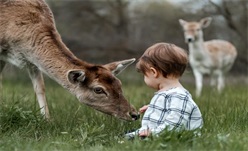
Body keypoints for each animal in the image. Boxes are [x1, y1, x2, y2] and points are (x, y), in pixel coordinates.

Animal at [0, 0, 140, 121]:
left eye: (119, 84)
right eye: (98, 90)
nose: (134, 114)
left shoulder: (32, 61)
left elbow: (40, 88)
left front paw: (47, 120)